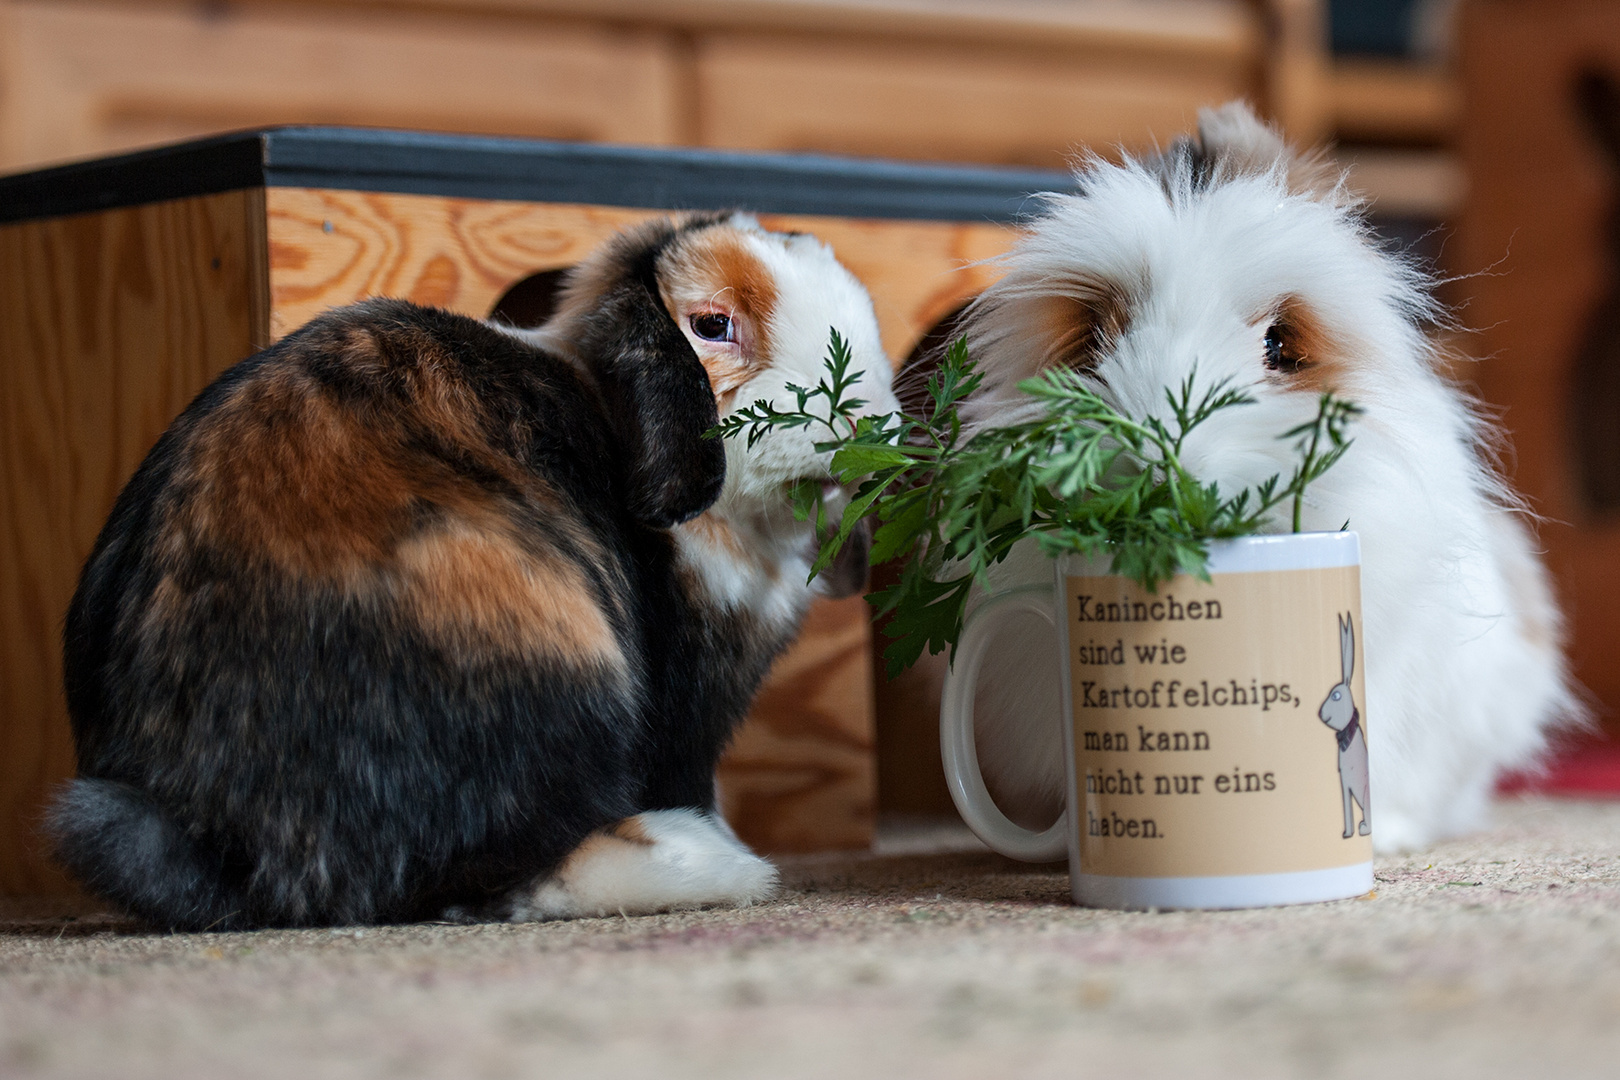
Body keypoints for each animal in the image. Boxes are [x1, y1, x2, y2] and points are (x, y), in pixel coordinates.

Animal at [47, 210, 900, 932]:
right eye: (711, 326)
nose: (858, 420)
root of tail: (246, 849)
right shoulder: (686, 705)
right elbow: (686, 772)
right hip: (545, 639)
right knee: (487, 869)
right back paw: (704, 862)